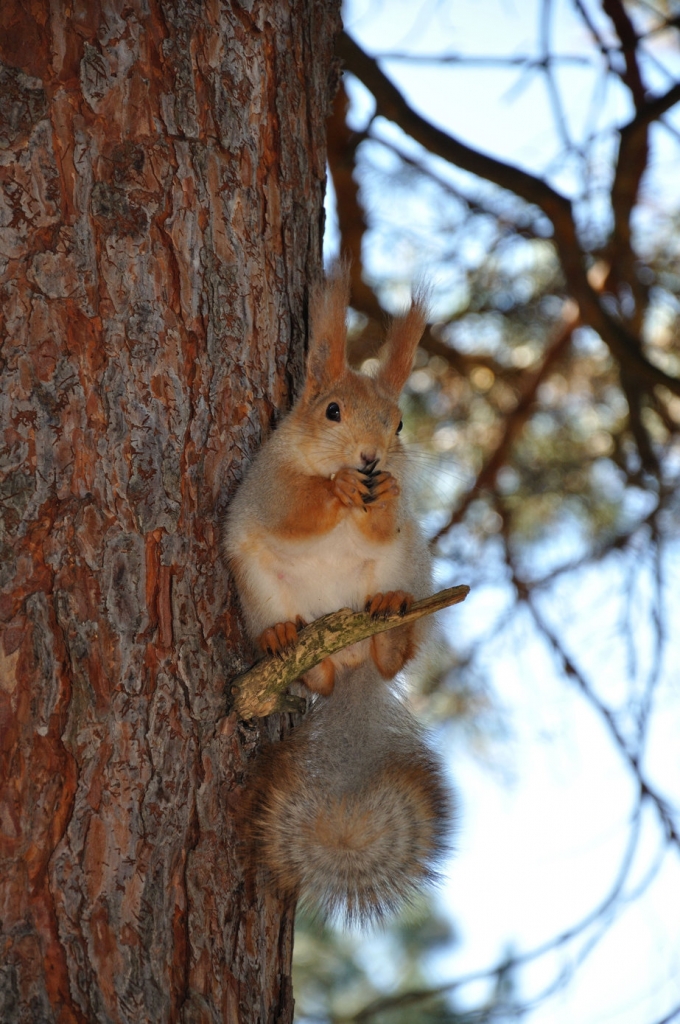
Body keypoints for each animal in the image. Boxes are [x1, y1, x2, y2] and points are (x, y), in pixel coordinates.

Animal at [224, 266, 451, 924]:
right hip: (258, 588)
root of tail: (350, 660)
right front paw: (339, 488)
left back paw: (390, 629)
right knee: (314, 676)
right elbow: (297, 507)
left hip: (410, 565)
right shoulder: (268, 485)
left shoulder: (392, 522)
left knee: (394, 654)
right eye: (331, 411)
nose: (372, 458)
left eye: (398, 422)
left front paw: (380, 492)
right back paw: (291, 645)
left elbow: (383, 520)